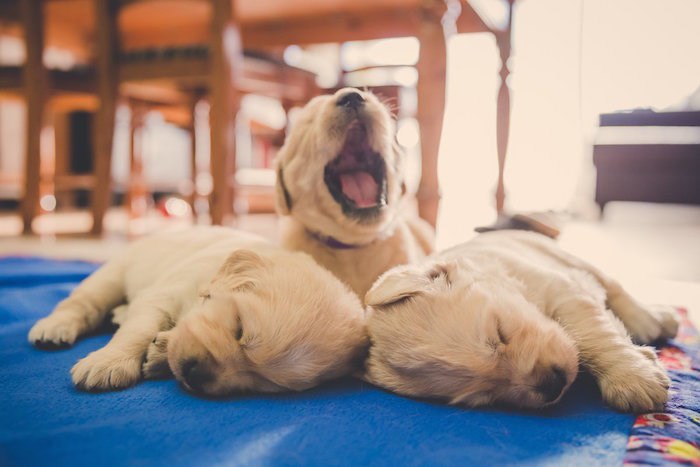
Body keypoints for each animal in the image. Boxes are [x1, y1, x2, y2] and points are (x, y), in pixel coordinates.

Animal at [27, 229, 366, 396]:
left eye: (265, 382)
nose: (197, 374)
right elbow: (138, 330)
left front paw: (160, 355)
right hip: (115, 272)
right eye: (239, 329)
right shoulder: (164, 293)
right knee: (82, 302)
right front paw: (108, 363)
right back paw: (54, 328)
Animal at [366, 231, 680, 414]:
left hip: (568, 257)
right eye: (485, 396)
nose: (552, 386)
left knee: (617, 289)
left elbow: (593, 336)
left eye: (500, 332)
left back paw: (656, 319)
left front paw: (633, 379)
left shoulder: (563, 289)